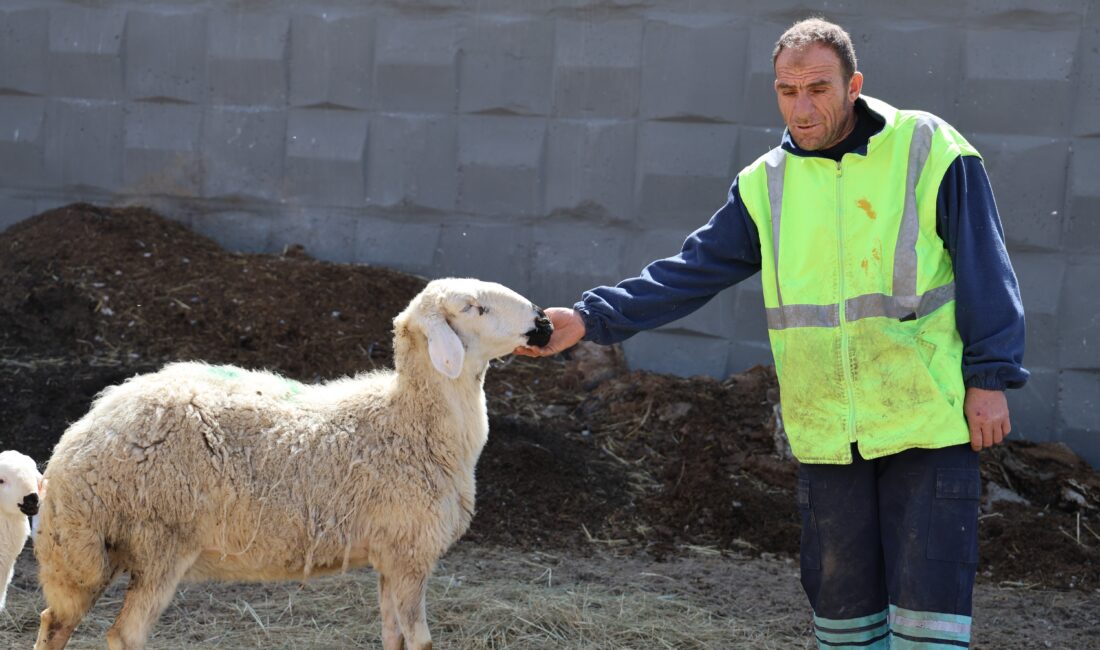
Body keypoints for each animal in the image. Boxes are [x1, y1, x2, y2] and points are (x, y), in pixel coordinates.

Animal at [34, 279, 554, 650]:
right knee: (123, 635)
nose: (544, 322)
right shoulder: (411, 552)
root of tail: (74, 444)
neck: (409, 420)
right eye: (474, 308)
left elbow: (392, 636)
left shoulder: (390, 554)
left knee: (54, 621)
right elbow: (421, 642)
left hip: (82, 554)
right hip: (157, 541)